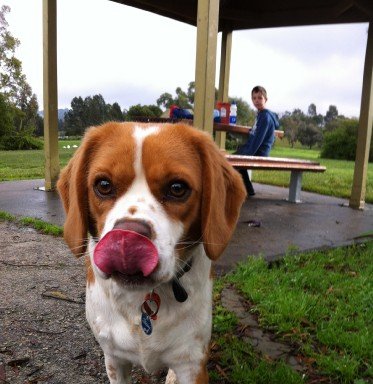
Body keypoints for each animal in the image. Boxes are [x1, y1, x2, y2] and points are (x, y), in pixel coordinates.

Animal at [56, 122, 246, 384]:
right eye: (103, 185)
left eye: (177, 188)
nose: (127, 238)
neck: (143, 300)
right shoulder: (114, 359)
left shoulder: (192, 364)